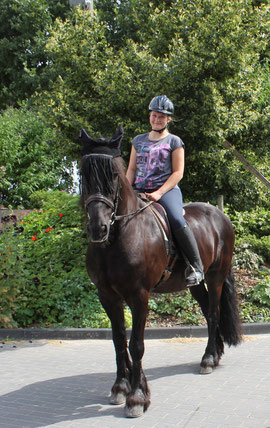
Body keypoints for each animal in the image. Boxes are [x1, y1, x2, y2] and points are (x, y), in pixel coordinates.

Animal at [79, 125, 242, 416]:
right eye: (84, 174)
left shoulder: (138, 295)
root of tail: (220, 216)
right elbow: (118, 340)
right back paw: (215, 353)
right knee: (206, 309)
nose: (98, 228)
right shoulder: (107, 296)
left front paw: (136, 397)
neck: (118, 237)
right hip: (195, 284)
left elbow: (136, 344)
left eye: (113, 175)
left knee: (213, 313)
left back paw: (208, 359)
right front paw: (121, 387)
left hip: (216, 276)